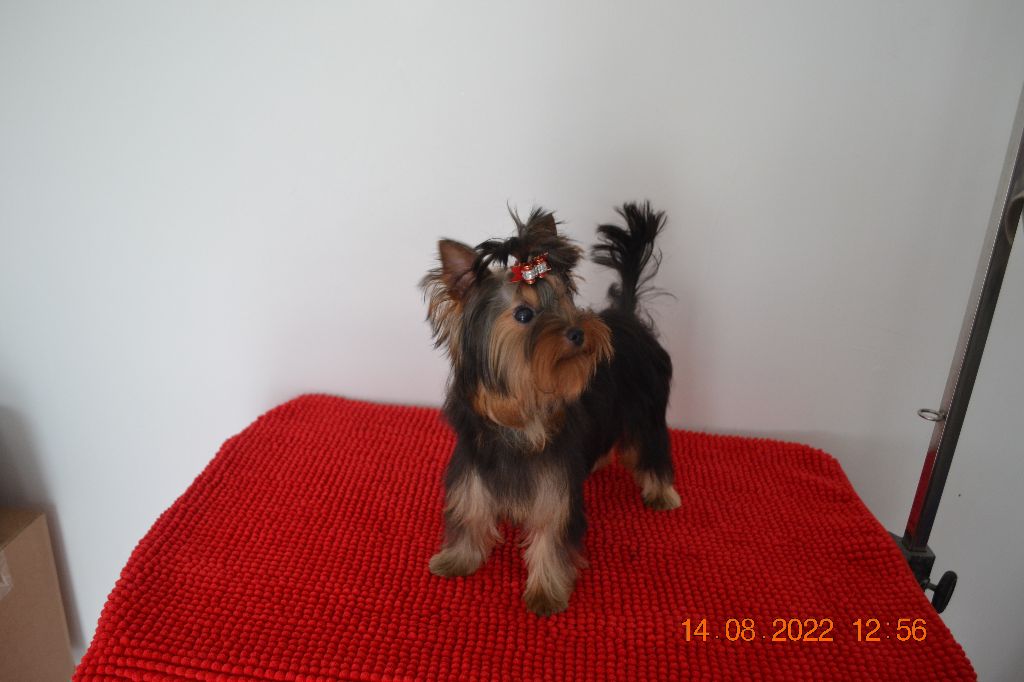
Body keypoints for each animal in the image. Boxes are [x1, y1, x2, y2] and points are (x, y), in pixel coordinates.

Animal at [421, 202, 680, 616]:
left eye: (562, 300)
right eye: (524, 315)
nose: (579, 330)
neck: (520, 411)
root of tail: (627, 316)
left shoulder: (554, 482)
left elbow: (551, 531)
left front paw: (546, 591)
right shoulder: (474, 466)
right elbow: (471, 510)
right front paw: (457, 559)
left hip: (647, 407)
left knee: (652, 444)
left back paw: (661, 493)